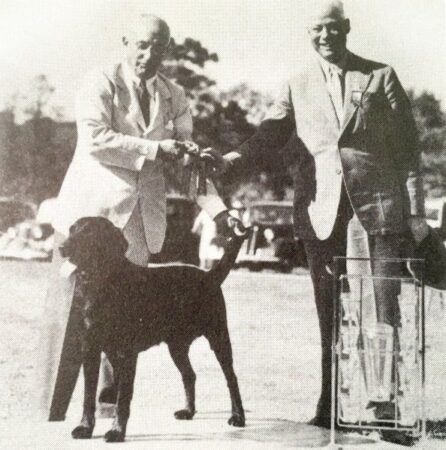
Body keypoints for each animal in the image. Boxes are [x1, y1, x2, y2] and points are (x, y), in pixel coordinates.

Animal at [57, 216, 246, 442]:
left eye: (88, 232)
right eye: (71, 230)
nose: (61, 247)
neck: (102, 284)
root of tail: (209, 275)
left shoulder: (126, 353)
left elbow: (123, 398)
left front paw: (116, 431)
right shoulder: (90, 349)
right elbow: (88, 396)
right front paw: (85, 428)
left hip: (218, 337)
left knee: (231, 378)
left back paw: (238, 417)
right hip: (176, 346)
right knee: (189, 375)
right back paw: (188, 411)